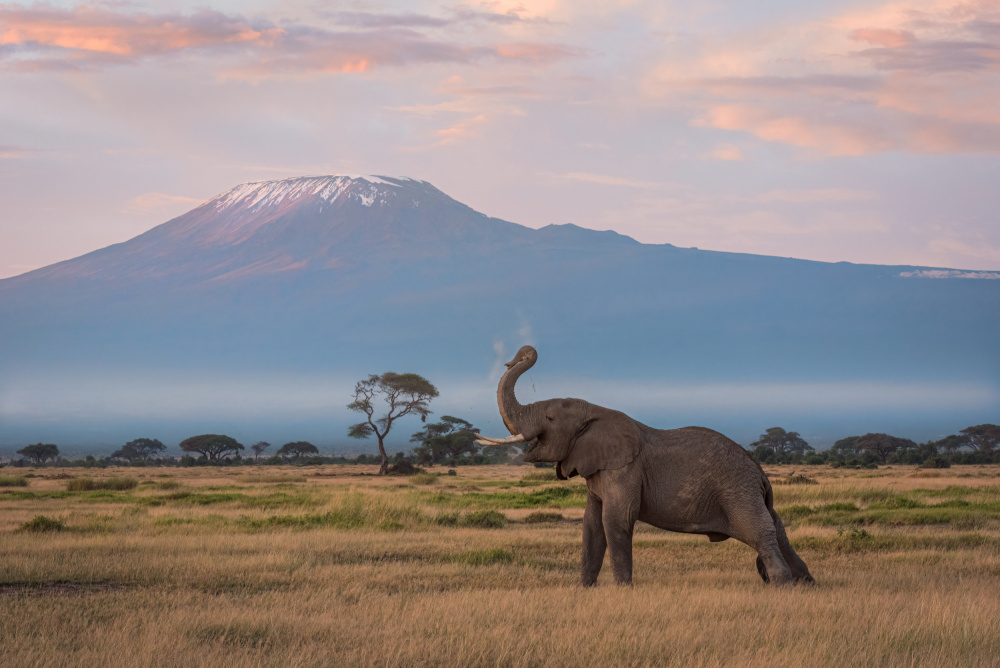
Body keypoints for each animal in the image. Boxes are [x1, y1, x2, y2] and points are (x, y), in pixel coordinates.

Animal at [474, 348, 812, 588]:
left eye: (550, 419)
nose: (519, 355)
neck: (595, 411)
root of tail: (760, 473)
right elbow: (591, 526)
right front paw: (584, 590)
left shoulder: (625, 469)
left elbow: (615, 521)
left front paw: (623, 590)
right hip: (750, 494)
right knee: (778, 532)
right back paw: (806, 584)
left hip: (737, 492)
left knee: (760, 533)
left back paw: (781, 586)